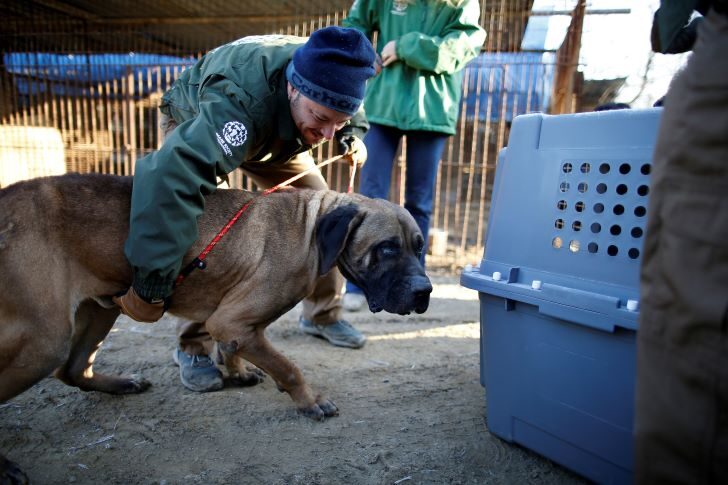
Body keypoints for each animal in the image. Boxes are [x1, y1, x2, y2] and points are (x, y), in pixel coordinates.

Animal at [0, 173, 432, 480]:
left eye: (420, 246)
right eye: (386, 249)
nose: (425, 291)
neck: (310, 228)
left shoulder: (233, 323)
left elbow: (236, 349)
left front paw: (240, 373)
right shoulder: (231, 320)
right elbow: (289, 366)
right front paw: (310, 400)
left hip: (100, 310)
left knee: (74, 370)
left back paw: (121, 383)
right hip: (44, 341)